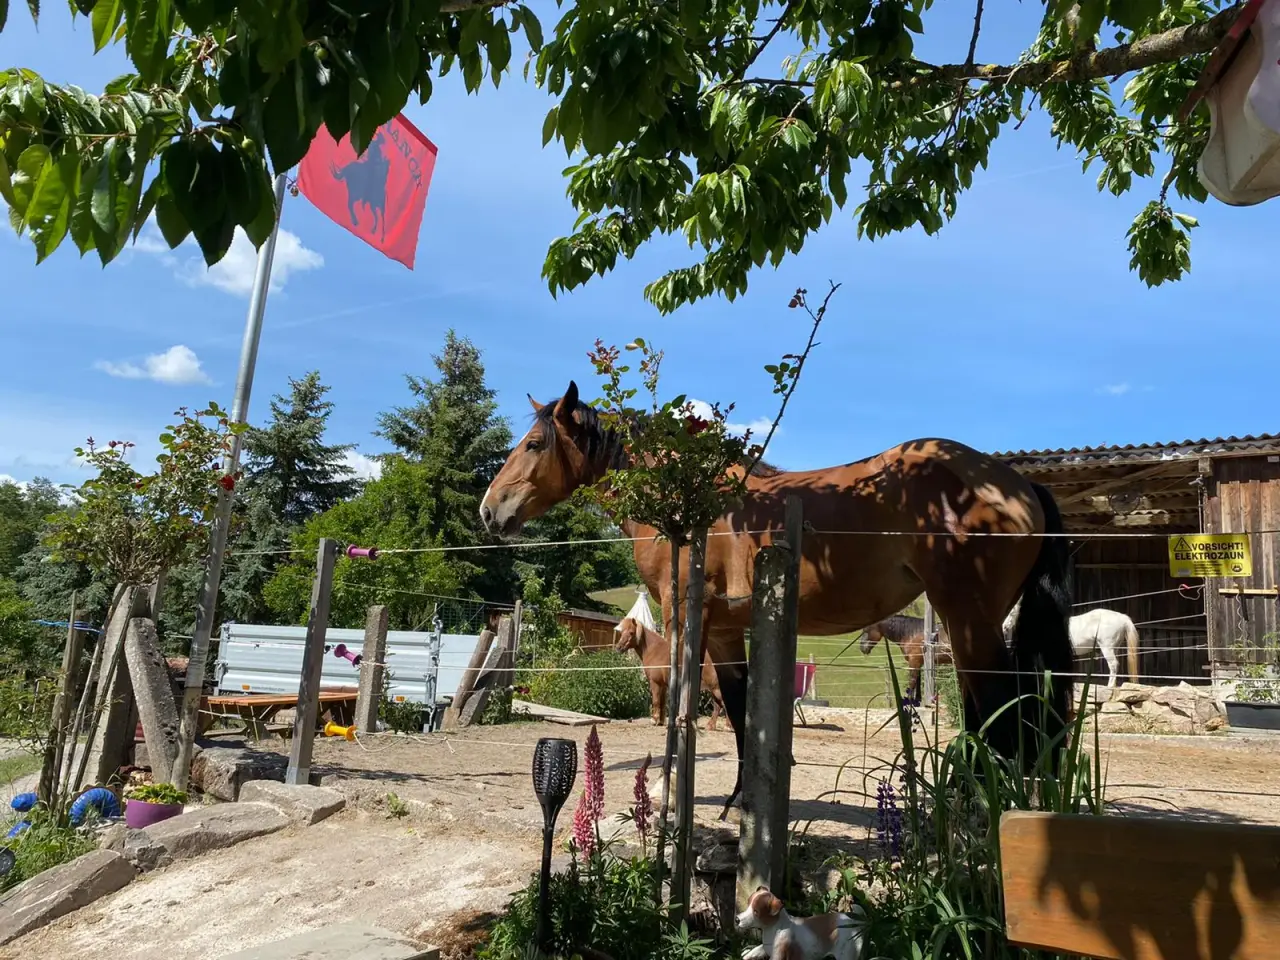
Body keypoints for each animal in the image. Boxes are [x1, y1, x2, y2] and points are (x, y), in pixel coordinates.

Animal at [480, 381, 1074, 817]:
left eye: (534, 445)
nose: (490, 510)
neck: (692, 502)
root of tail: (1017, 484)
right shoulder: (724, 632)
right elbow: (740, 714)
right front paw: (741, 803)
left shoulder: (684, 621)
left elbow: (682, 712)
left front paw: (671, 797)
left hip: (969, 624)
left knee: (998, 716)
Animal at [1002, 600, 1139, 688]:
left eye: (1012, 612)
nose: (1004, 628)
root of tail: (1122, 618)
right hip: (1114, 647)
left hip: (1107, 648)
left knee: (1113, 664)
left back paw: (1110, 686)